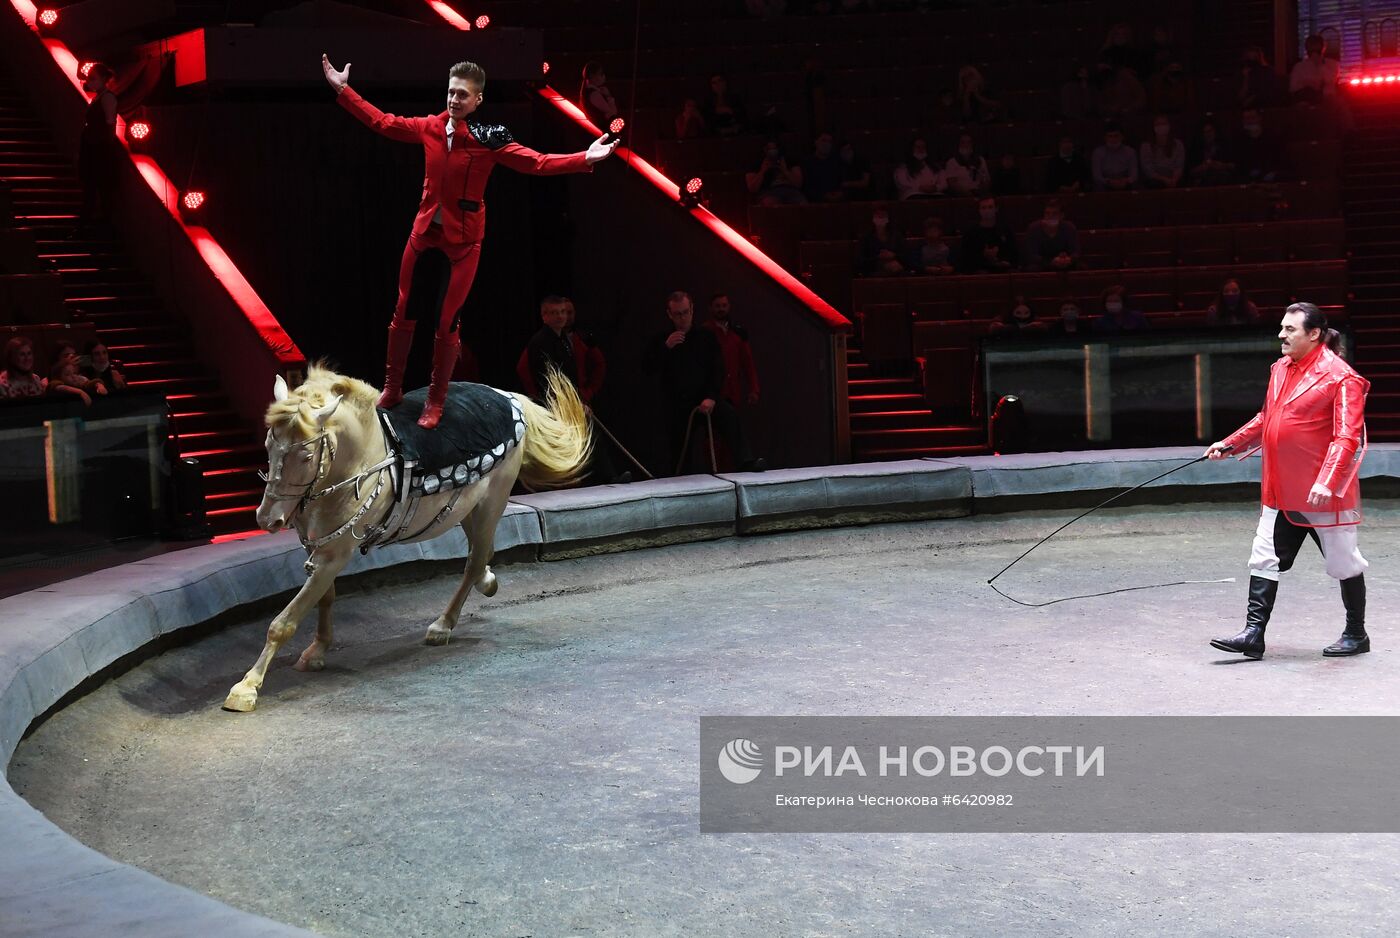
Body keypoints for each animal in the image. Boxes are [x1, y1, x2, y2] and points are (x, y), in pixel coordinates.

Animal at [226, 366, 588, 714]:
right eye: (269, 446)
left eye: (304, 457)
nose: (267, 519)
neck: (359, 462)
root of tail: (508, 396)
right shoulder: (320, 547)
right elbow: (324, 598)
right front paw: (317, 651)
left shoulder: (335, 553)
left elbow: (285, 621)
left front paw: (247, 688)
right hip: (467, 507)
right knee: (483, 552)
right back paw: (487, 582)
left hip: (492, 501)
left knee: (473, 562)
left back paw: (443, 625)